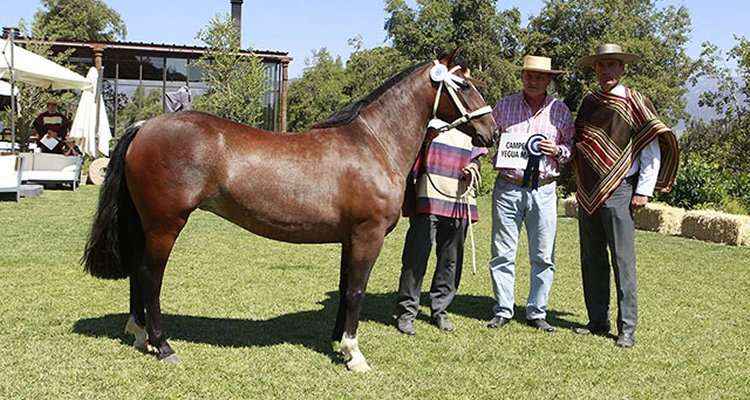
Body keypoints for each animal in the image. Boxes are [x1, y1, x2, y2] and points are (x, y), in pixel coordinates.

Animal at [83, 49, 500, 372]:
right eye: (464, 85)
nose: (492, 132)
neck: (373, 144)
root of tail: (145, 125)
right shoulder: (368, 235)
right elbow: (357, 291)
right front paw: (354, 354)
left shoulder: (350, 238)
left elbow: (345, 287)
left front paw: (338, 341)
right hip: (165, 225)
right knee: (149, 276)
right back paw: (163, 345)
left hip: (147, 225)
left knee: (137, 273)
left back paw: (139, 335)